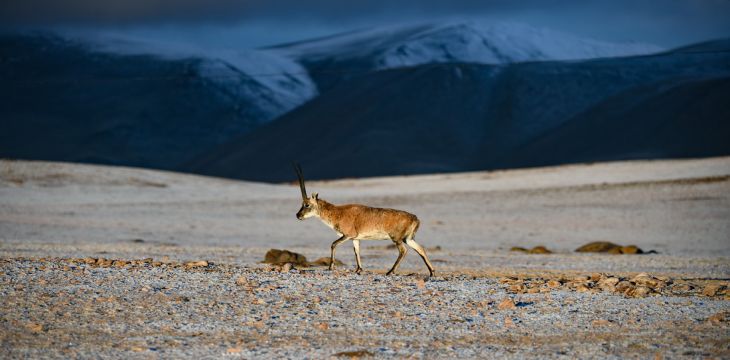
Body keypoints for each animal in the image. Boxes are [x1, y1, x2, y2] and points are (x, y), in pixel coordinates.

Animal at [292, 165, 436, 278]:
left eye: (306, 204)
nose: (298, 215)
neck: (338, 212)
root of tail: (415, 218)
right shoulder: (355, 238)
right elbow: (356, 251)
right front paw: (358, 269)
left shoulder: (347, 235)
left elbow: (333, 244)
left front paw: (330, 267)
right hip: (408, 239)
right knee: (420, 249)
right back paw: (432, 272)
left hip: (397, 239)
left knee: (403, 251)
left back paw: (390, 272)